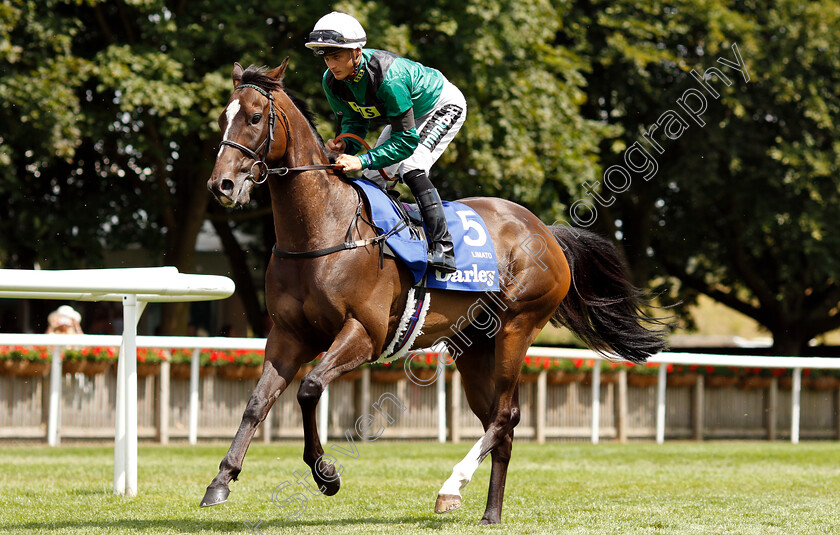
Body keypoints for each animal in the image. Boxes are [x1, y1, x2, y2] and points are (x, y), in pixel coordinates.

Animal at [200, 60, 668, 524]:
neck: (323, 230)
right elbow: (257, 402)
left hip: (517, 327)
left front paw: (325, 474)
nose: (221, 185)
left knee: (503, 416)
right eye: (223, 117)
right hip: (473, 345)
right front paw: (221, 480)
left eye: (254, 117)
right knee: (502, 422)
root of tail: (546, 231)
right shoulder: (288, 334)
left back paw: (452, 485)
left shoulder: (364, 333)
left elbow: (309, 388)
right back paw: (490, 513)